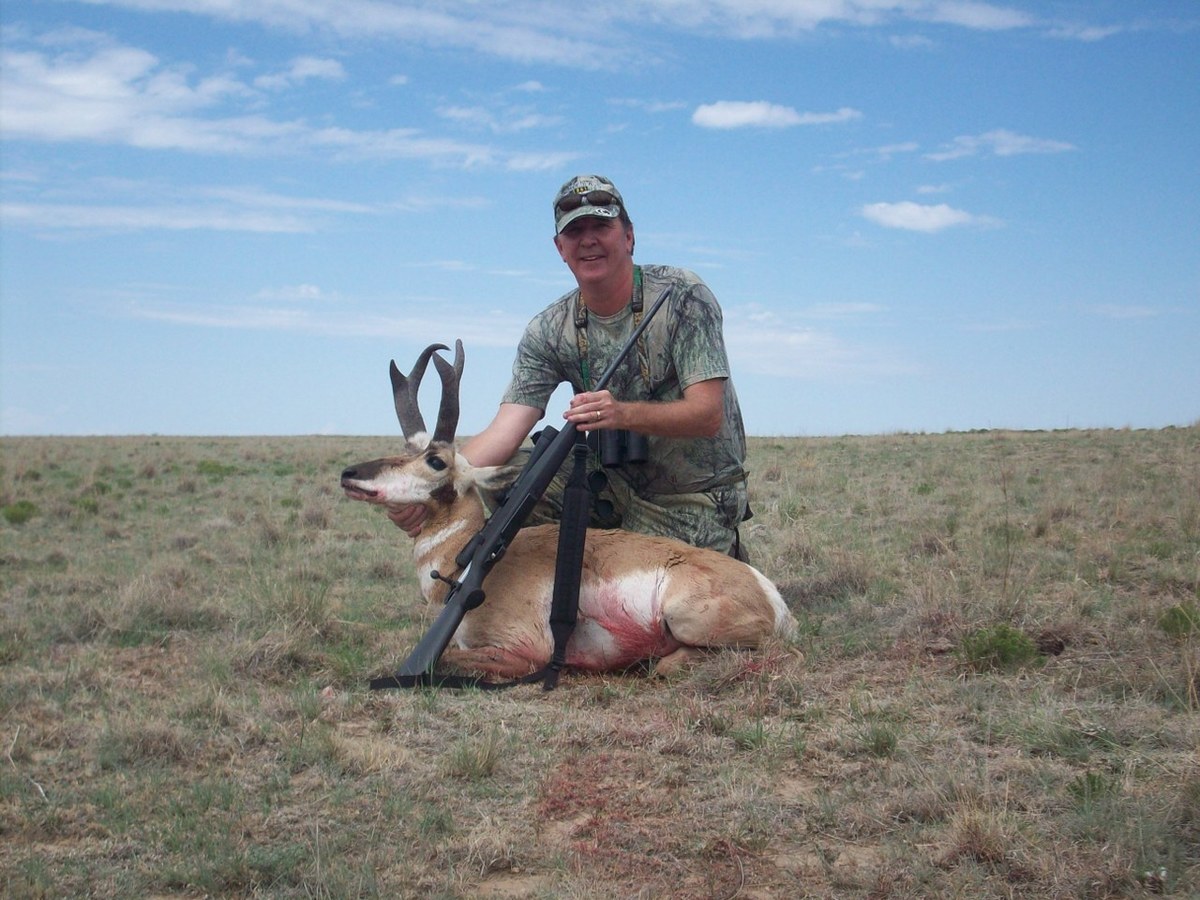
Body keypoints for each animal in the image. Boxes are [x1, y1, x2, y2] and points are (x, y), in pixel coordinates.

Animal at [340, 343, 796, 676]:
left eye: (435, 461)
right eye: (406, 450)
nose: (349, 474)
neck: (459, 566)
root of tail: (770, 594)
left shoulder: (523, 651)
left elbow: (446, 659)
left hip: (683, 615)